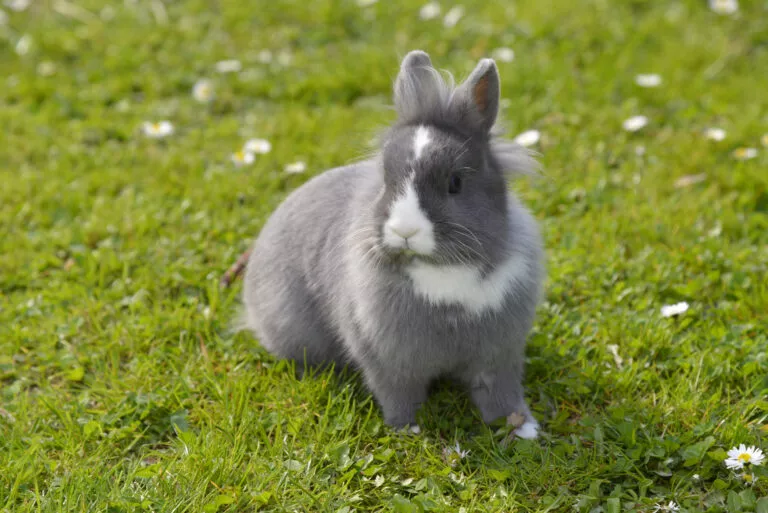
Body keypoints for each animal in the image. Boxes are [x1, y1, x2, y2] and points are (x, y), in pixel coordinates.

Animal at [243, 50, 544, 438]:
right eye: (386, 179)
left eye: (455, 183)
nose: (404, 231)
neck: (444, 270)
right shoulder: (388, 359)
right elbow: (399, 394)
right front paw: (407, 429)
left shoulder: (499, 354)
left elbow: (502, 394)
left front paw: (525, 429)